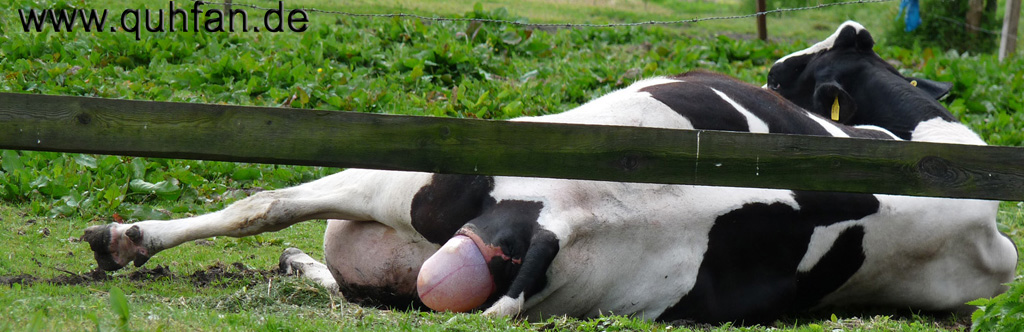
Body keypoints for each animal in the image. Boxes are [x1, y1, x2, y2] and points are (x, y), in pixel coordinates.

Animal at [81, 21, 1015, 323]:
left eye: (807, 63)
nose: (777, 63)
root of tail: (562, 226)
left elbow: (259, 202)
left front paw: (128, 237)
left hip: (407, 180)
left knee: (272, 207)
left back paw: (128, 240)